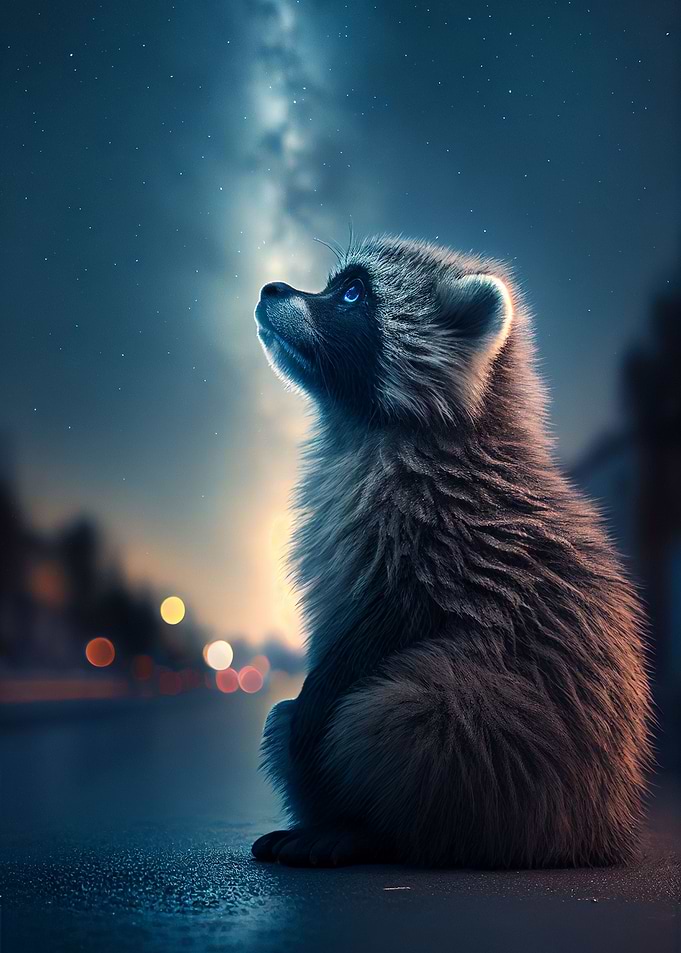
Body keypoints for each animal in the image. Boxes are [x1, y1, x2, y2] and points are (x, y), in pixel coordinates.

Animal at [251, 235, 651, 868]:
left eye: (352, 293)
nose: (271, 288)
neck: (363, 427)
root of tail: (600, 829)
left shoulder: (443, 537)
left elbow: (397, 617)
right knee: (288, 716)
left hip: (523, 749)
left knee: (409, 711)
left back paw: (368, 829)